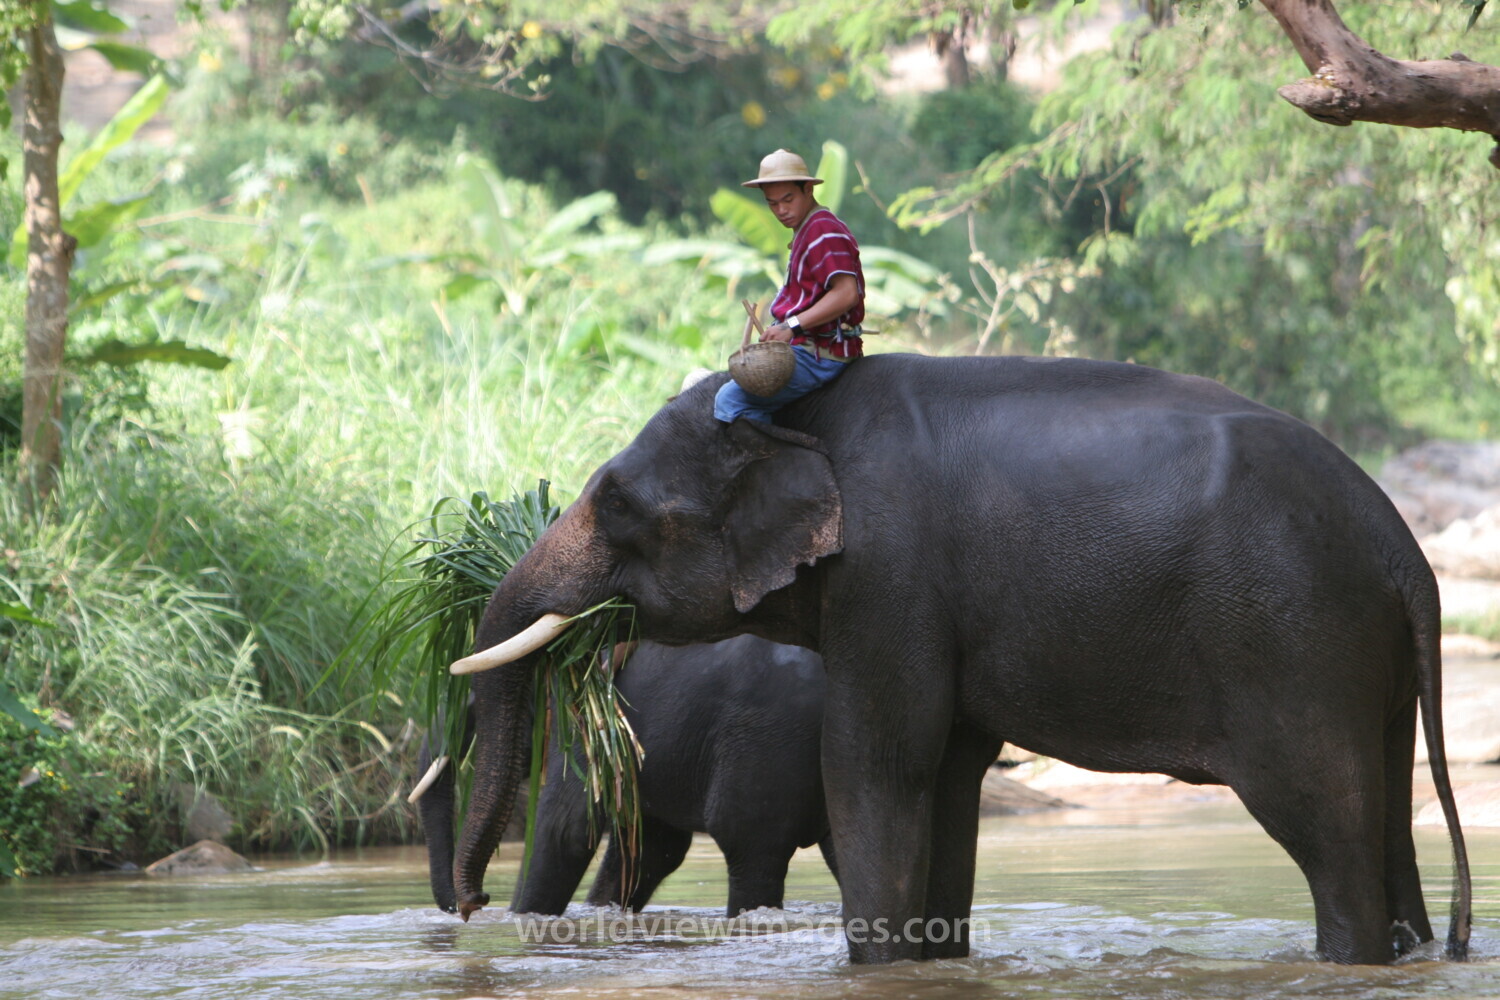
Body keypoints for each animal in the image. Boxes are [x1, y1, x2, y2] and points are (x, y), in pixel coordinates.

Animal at [412, 636, 837, 917]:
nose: (475, 903)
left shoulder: (580, 719)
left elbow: (563, 831)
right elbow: (653, 848)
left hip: (766, 738)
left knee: (750, 846)